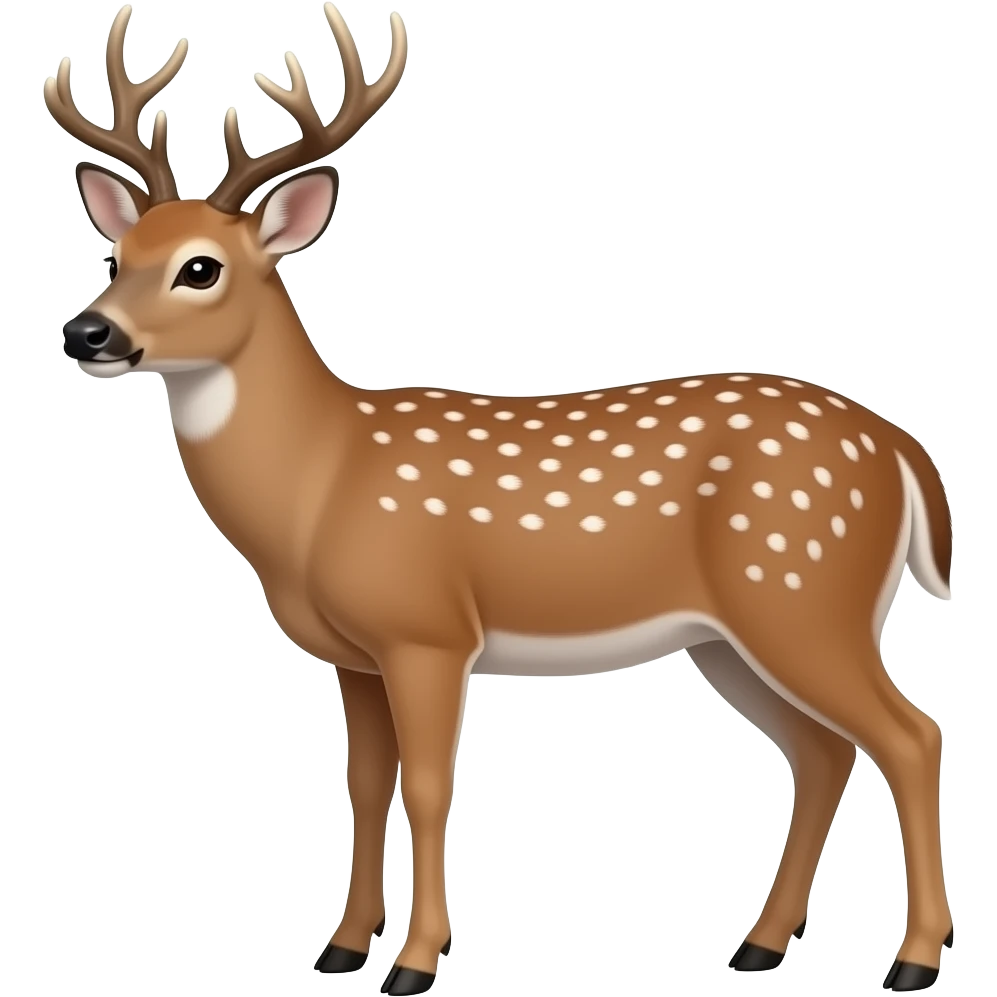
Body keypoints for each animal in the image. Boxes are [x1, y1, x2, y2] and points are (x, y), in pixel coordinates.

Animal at [45, 4, 957, 994]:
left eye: (201, 268)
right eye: (117, 253)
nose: (87, 332)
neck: (320, 485)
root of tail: (900, 448)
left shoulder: (428, 630)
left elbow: (428, 786)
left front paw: (414, 961)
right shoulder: (354, 655)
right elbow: (364, 786)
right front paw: (342, 946)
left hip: (802, 590)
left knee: (911, 734)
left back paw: (912, 958)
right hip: (732, 635)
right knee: (824, 750)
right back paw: (758, 944)